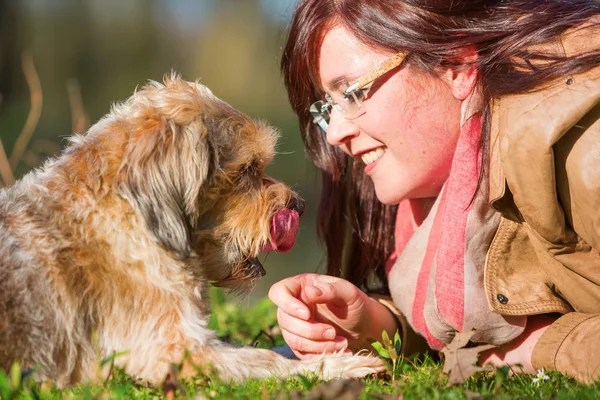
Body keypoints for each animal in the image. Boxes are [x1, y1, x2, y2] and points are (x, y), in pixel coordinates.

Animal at [0, 76, 384, 388]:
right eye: (248, 170)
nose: (300, 206)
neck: (131, 212)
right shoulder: (170, 351)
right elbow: (262, 360)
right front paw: (337, 366)